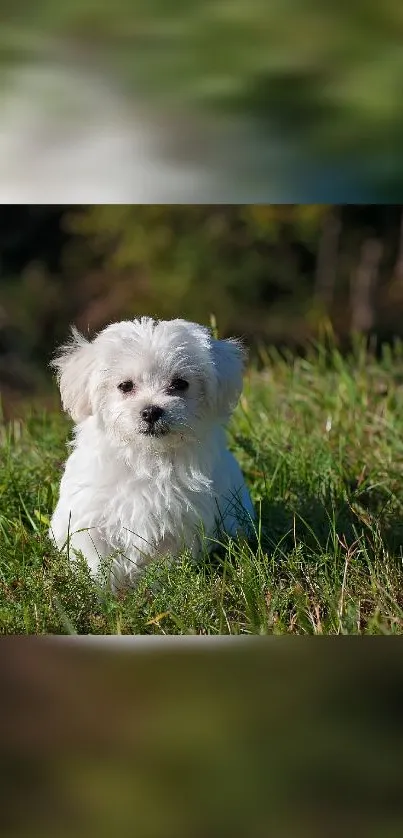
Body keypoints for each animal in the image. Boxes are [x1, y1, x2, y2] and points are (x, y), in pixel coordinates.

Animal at [49, 316, 252, 592]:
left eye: (180, 384)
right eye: (125, 386)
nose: (151, 411)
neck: (146, 457)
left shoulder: (179, 526)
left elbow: (164, 565)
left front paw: (157, 591)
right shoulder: (91, 520)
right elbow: (97, 562)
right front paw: (102, 595)